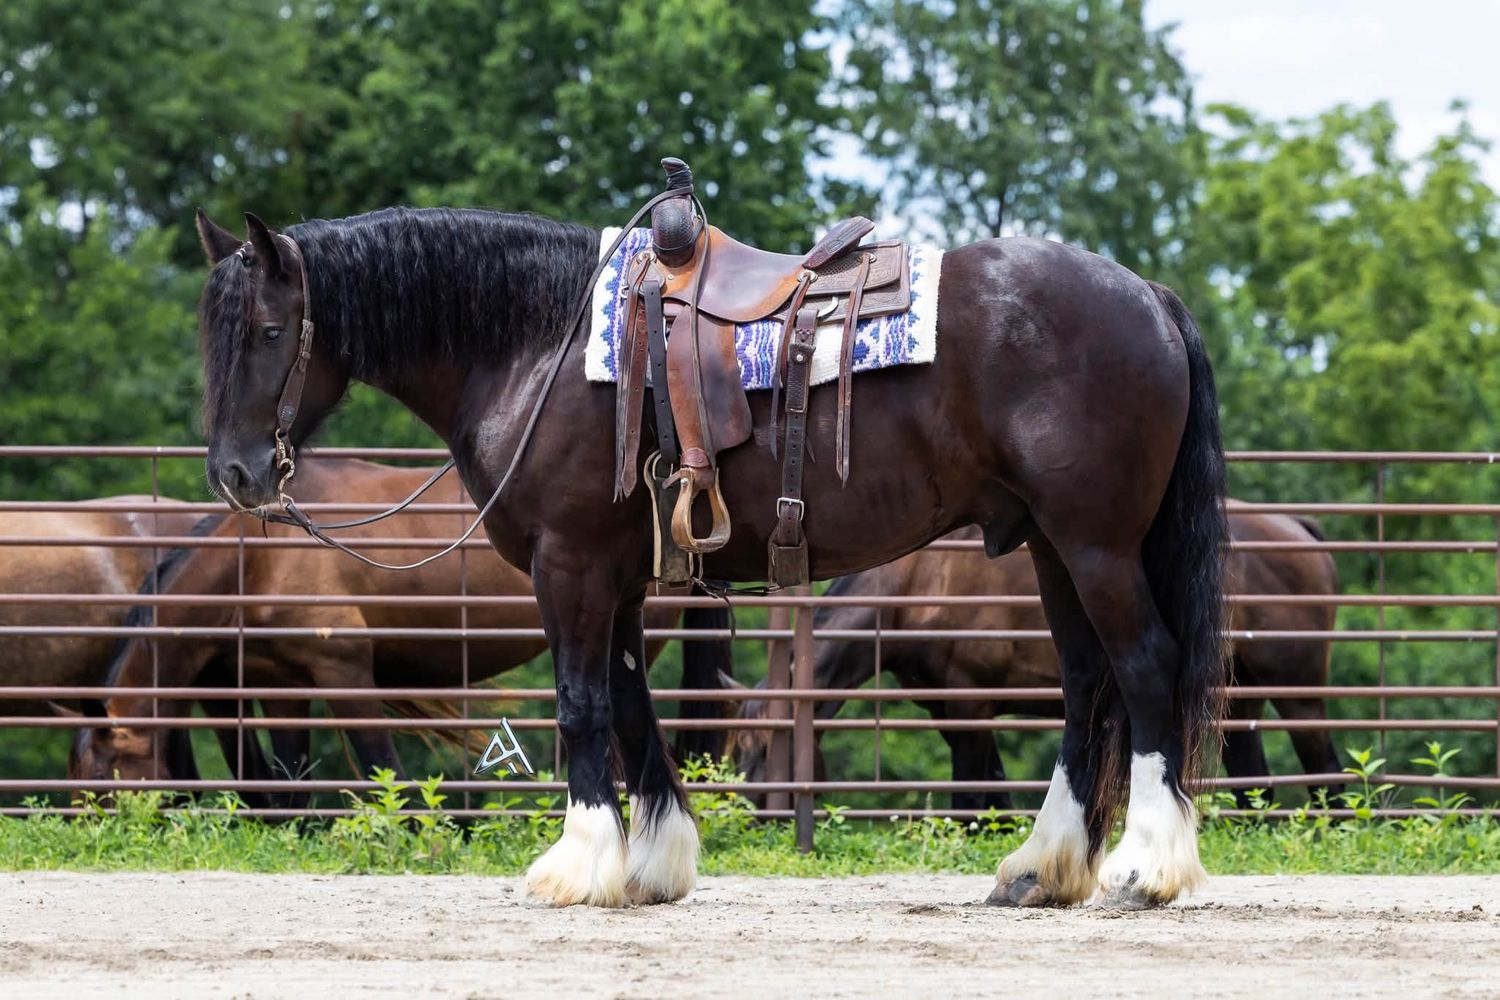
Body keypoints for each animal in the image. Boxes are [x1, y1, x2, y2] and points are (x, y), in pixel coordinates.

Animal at [71, 458, 717, 796]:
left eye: (104, 779)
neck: (260, 559)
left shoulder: (346, 675)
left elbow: (390, 773)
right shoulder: (281, 685)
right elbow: (290, 777)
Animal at [193, 201, 1227, 910]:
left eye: (272, 332)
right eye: (212, 336)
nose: (236, 473)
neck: (541, 348)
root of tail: (1148, 295)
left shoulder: (569, 567)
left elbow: (581, 706)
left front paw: (576, 864)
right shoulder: (617, 579)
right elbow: (631, 709)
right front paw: (650, 861)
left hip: (1095, 543)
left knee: (1145, 667)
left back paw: (1145, 867)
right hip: (1050, 545)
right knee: (1088, 683)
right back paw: (1041, 867)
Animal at [730, 508, 1342, 810]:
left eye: (765, 749)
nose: (755, 813)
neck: (913, 586)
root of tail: (1298, 528)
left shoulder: (969, 709)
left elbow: (971, 796)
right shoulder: (955, 714)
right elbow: (993, 794)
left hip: (1300, 698)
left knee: (1327, 773)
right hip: (1239, 703)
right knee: (1256, 784)